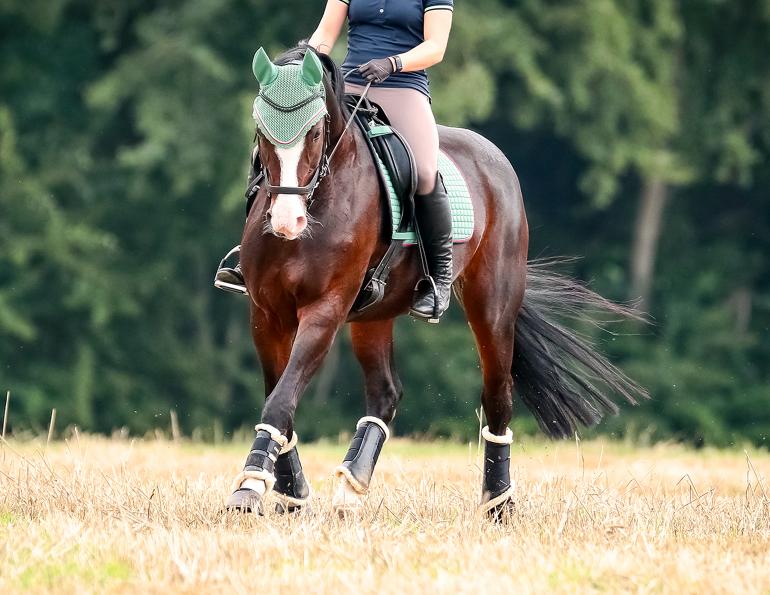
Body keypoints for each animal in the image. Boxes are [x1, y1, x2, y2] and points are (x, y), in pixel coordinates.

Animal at [225, 44, 646, 518]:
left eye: (314, 134)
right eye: (261, 133)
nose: (287, 222)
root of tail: (495, 158)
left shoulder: (325, 310)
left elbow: (282, 396)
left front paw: (250, 487)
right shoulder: (266, 313)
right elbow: (278, 396)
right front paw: (289, 491)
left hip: (491, 306)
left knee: (497, 396)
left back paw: (497, 501)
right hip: (372, 315)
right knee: (386, 394)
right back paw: (351, 487)